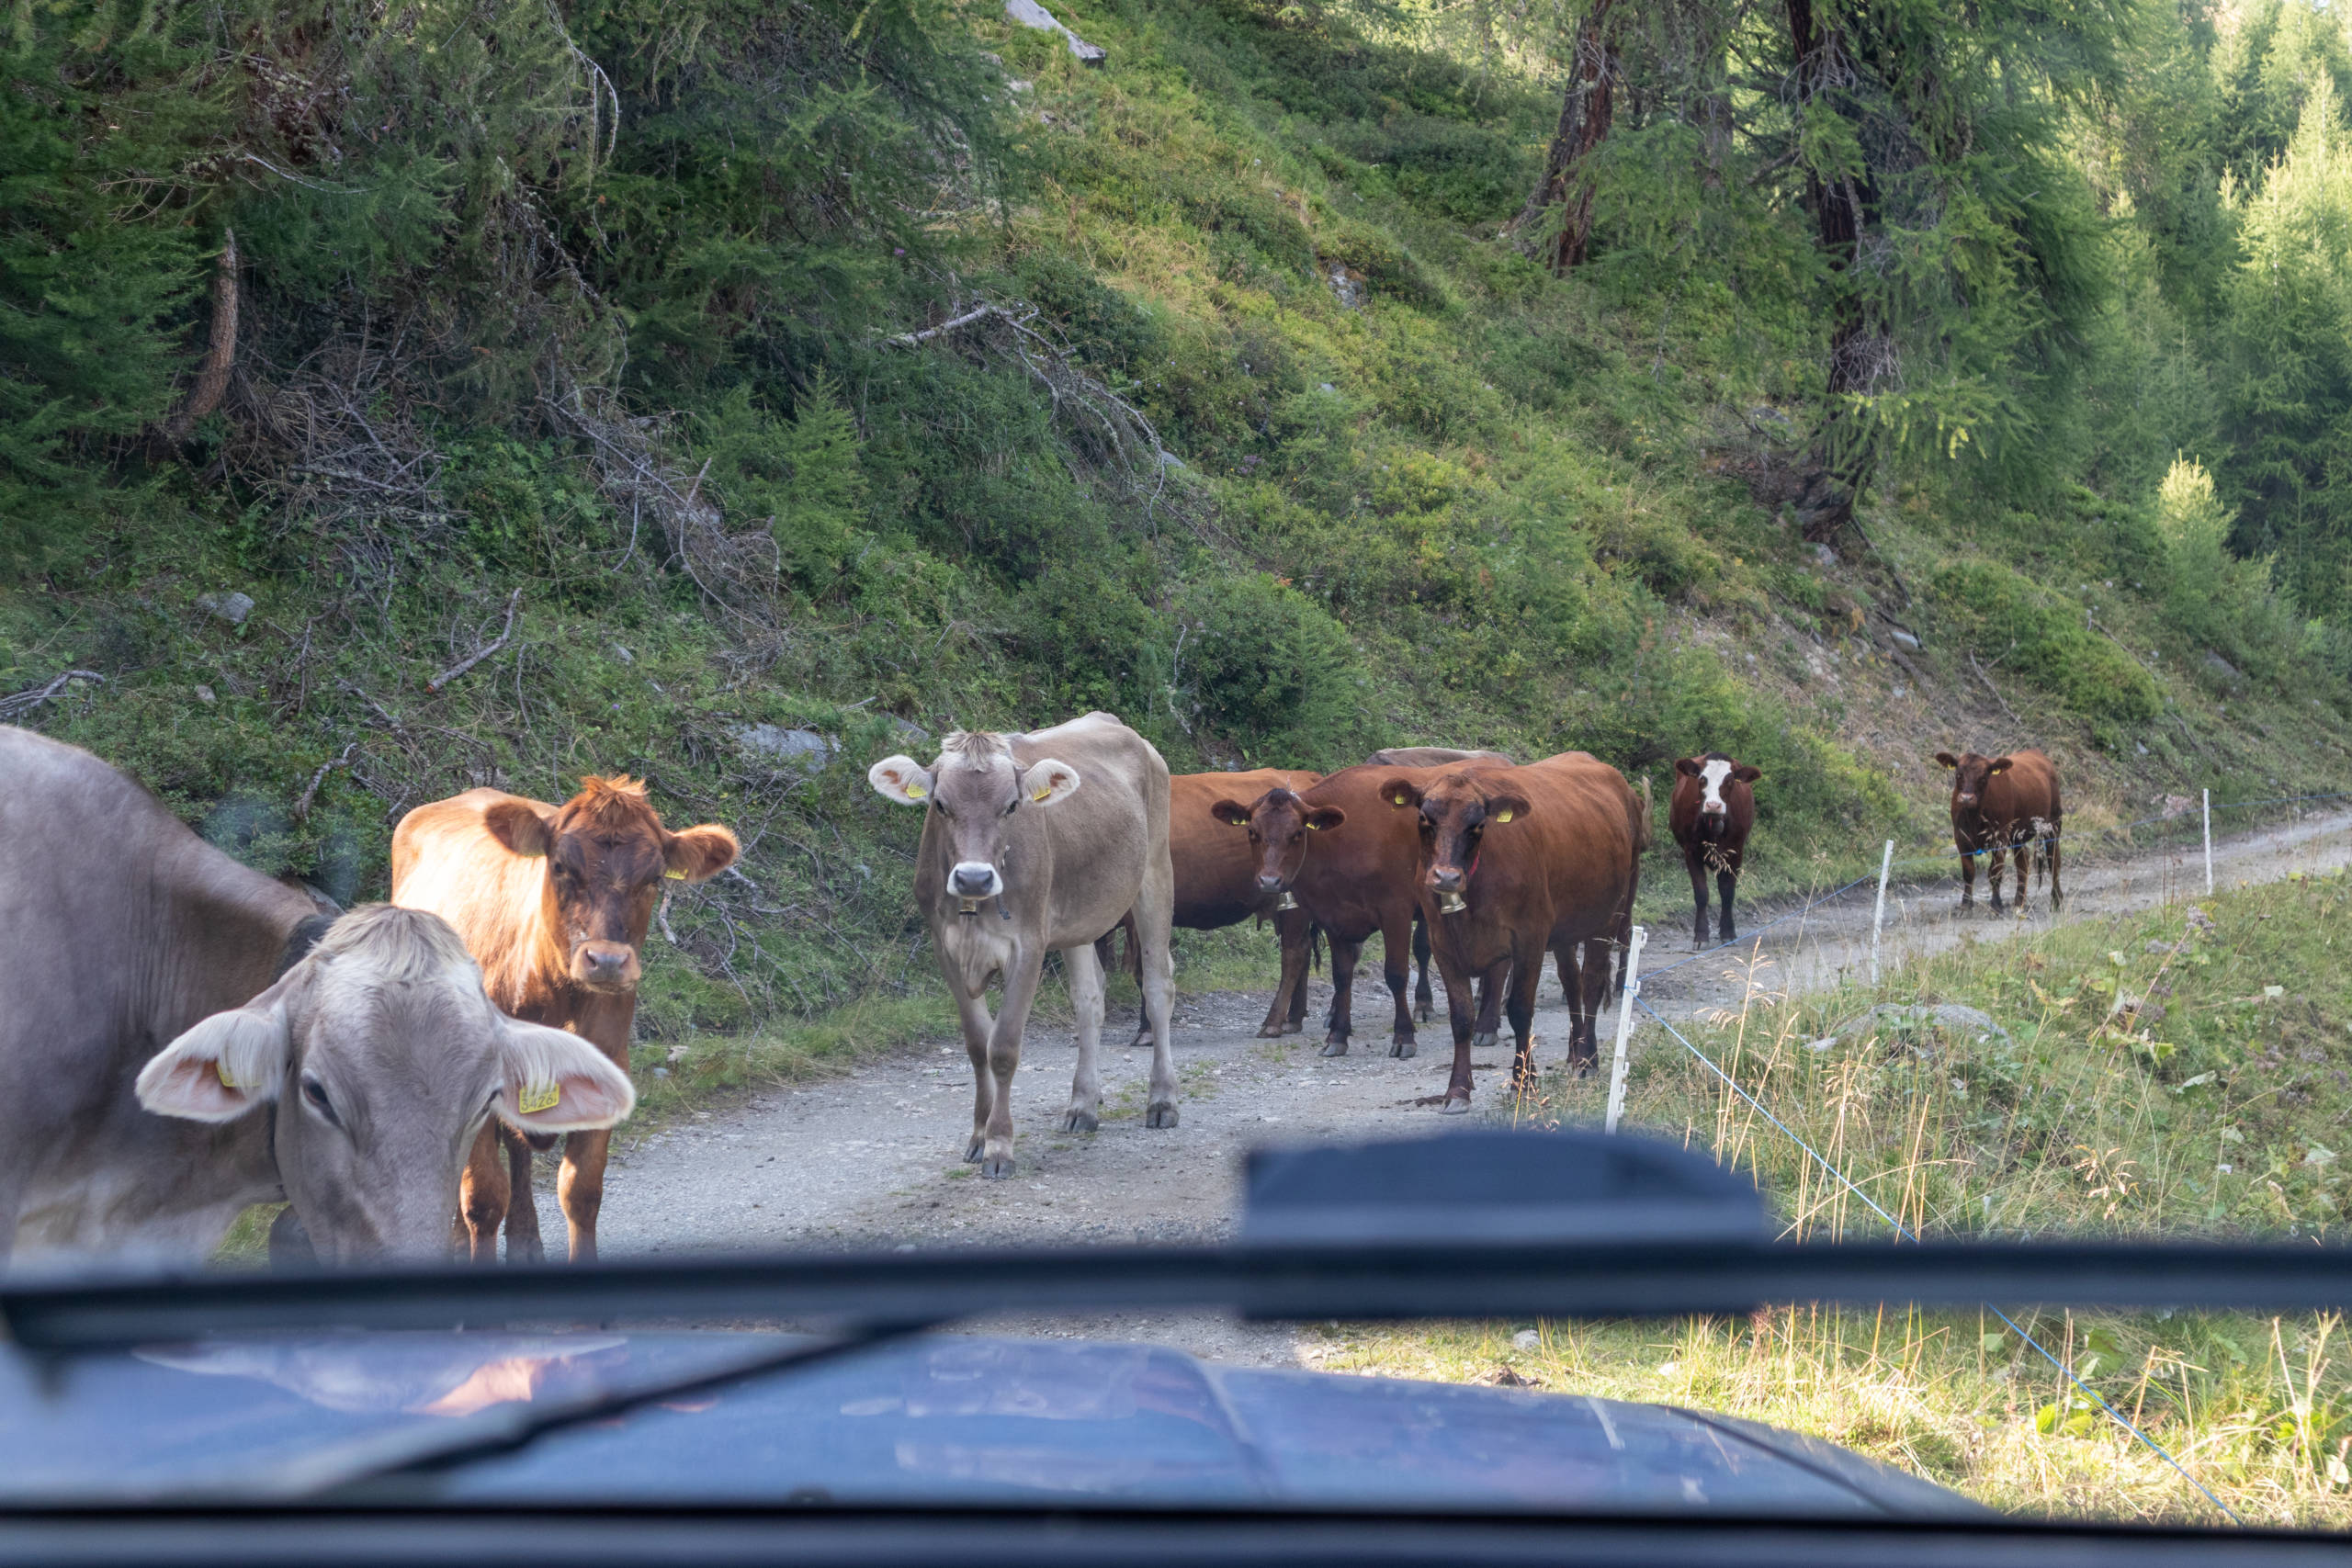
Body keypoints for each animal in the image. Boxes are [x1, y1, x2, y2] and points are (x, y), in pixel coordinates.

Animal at [391, 778, 738, 1263]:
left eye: (654, 878)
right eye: (559, 866)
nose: (607, 961)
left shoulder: (609, 1064)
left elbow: (581, 1191)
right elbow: (483, 1197)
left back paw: (525, 1241)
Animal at [869, 714, 1178, 1178]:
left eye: (1012, 806)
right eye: (940, 804)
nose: (974, 878)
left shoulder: (1029, 945)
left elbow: (1003, 1048)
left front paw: (999, 1145)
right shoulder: (944, 948)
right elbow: (977, 1045)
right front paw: (979, 1137)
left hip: (1156, 871)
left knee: (1159, 988)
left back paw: (1162, 1100)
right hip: (1078, 916)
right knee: (1089, 1000)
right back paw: (1083, 1105)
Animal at [1382, 753, 1642, 1109]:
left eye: (1478, 825)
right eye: (1424, 817)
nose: (1446, 877)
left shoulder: (1529, 938)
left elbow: (1520, 1011)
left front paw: (1525, 1082)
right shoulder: (1442, 943)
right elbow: (1461, 1018)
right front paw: (1457, 1091)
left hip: (1608, 917)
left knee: (1590, 985)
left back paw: (1588, 1060)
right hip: (1565, 931)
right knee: (1572, 983)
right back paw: (1574, 1054)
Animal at [1669, 754, 1761, 949]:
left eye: (1730, 781)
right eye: (1702, 779)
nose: (1713, 805)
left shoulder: (1736, 851)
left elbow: (1727, 892)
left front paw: (1728, 933)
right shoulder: (1691, 852)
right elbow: (1701, 894)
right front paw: (1701, 935)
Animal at [1935, 749, 2063, 912]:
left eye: (1984, 777)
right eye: (1959, 774)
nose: (1966, 798)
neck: (1974, 816)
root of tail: (2037, 753)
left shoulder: (2000, 837)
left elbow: (1995, 872)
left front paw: (1996, 905)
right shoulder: (1960, 837)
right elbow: (1968, 872)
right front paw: (1966, 905)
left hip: (2052, 825)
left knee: (2054, 860)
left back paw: (2056, 900)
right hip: (2017, 835)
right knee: (2023, 863)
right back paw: (2018, 903)